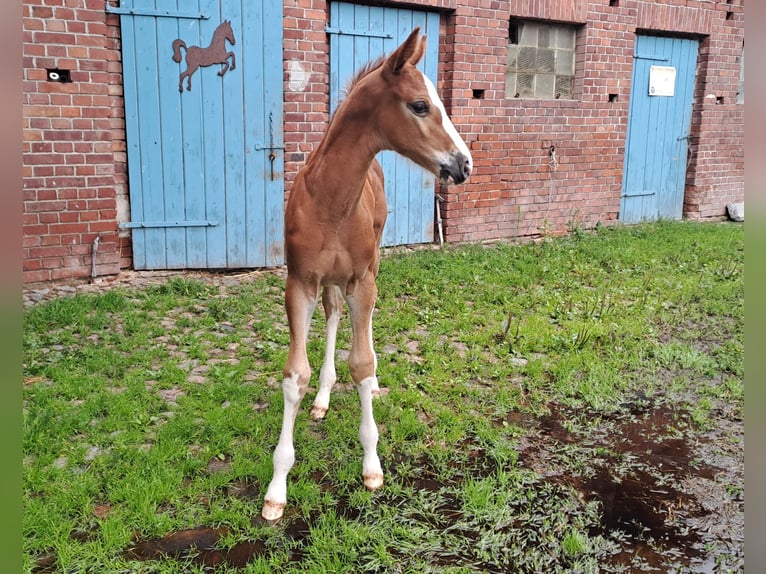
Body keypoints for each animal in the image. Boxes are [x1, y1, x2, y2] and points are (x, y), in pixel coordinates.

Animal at [260, 28, 472, 520]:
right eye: (420, 105)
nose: (464, 164)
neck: (331, 201)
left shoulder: (362, 279)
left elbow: (362, 362)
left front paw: (372, 465)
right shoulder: (299, 283)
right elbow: (295, 375)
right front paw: (277, 488)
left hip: (371, 268)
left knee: (365, 326)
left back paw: (370, 387)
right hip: (329, 284)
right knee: (335, 314)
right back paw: (322, 398)